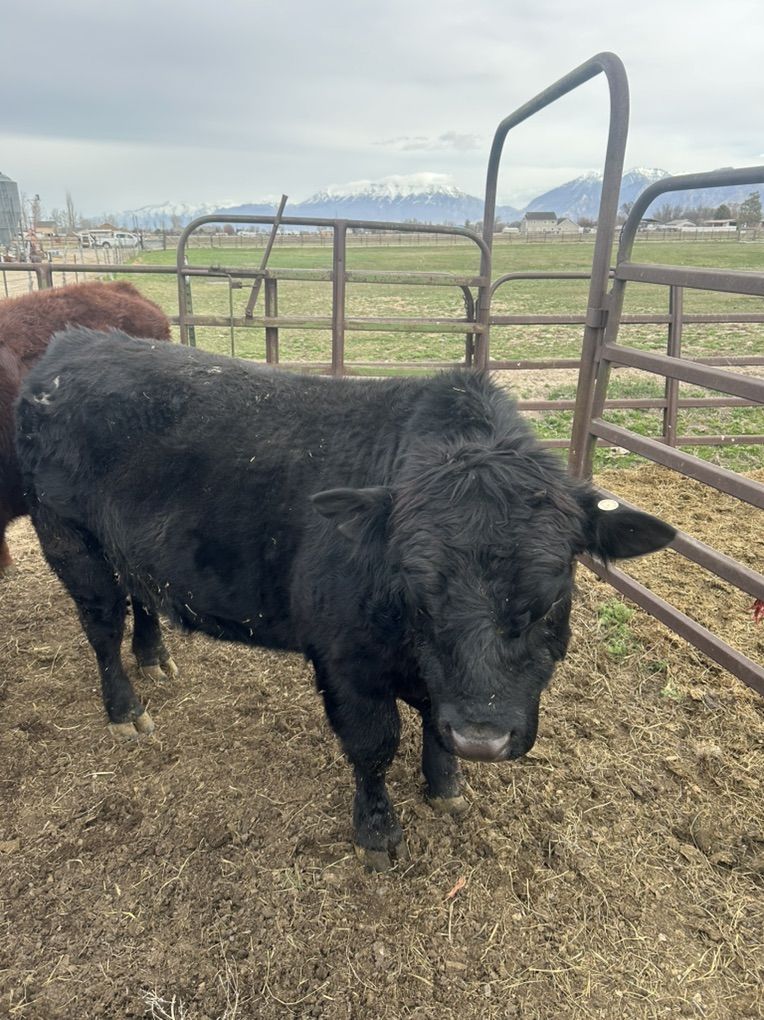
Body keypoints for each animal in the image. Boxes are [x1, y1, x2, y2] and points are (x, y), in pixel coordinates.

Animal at [16, 328, 675, 868]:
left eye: (552, 589)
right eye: (417, 587)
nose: (482, 738)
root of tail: (72, 346)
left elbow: (434, 727)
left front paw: (447, 788)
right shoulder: (346, 665)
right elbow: (374, 746)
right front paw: (377, 832)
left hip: (128, 551)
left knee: (143, 598)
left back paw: (156, 658)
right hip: (71, 542)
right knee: (103, 627)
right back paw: (126, 709)